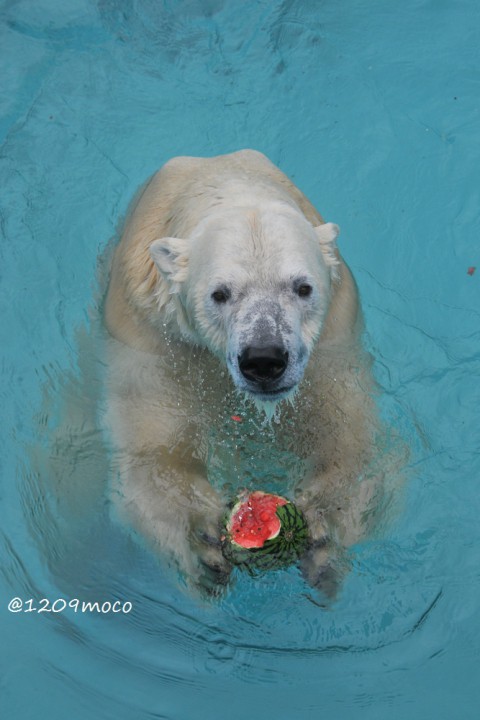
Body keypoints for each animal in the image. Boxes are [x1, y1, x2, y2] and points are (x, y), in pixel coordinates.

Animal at [104, 148, 386, 596]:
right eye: (219, 293)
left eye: (303, 287)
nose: (264, 359)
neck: (229, 182)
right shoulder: (152, 334)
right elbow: (152, 448)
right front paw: (199, 538)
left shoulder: (334, 329)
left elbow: (345, 430)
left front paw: (324, 526)